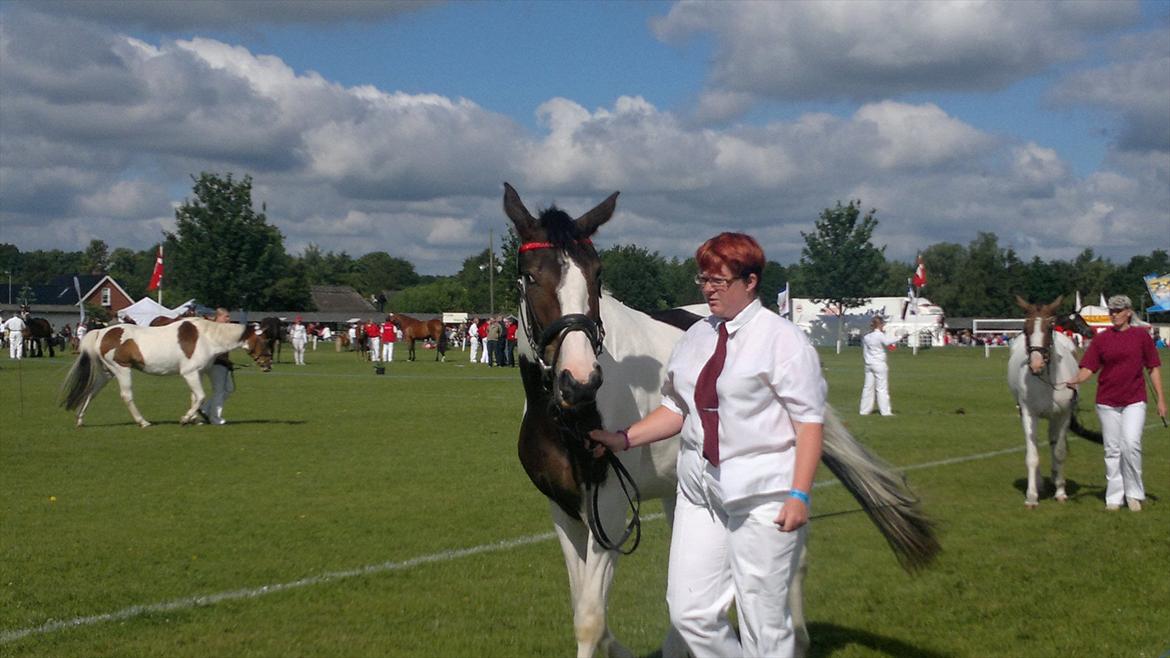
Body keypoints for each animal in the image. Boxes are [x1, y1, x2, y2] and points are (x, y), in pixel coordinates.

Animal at [62, 316, 271, 426]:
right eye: (265, 340)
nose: (268, 365)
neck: (207, 338)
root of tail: (102, 332)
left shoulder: (198, 373)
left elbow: (195, 398)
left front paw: (195, 419)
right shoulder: (190, 373)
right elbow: (201, 396)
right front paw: (185, 419)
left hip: (107, 373)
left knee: (91, 392)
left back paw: (80, 419)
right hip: (121, 369)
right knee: (126, 395)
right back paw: (143, 422)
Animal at [505, 180, 940, 655]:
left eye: (597, 275)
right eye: (531, 276)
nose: (580, 380)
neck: (568, 421)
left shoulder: (612, 508)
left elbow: (590, 619)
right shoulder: (564, 510)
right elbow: (586, 609)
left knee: (791, 562)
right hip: (678, 490)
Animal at [1006, 295, 1104, 503]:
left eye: (1049, 328)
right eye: (1025, 328)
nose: (1036, 364)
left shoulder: (1063, 414)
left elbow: (1059, 451)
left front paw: (1060, 491)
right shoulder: (1028, 414)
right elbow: (1032, 453)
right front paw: (1032, 495)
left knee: (1053, 441)